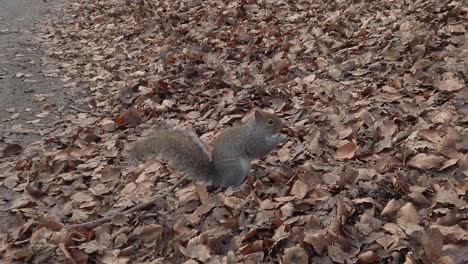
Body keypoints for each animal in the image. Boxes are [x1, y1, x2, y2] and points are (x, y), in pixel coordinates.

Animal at [64, 109, 288, 229]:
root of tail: (217, 177)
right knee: (230, 185)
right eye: (270, 121)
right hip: (236, 170)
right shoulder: (253, 142)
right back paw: (238, 186)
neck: (254, 128)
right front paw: (281, 138)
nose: (283, 124)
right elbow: (260, 149)